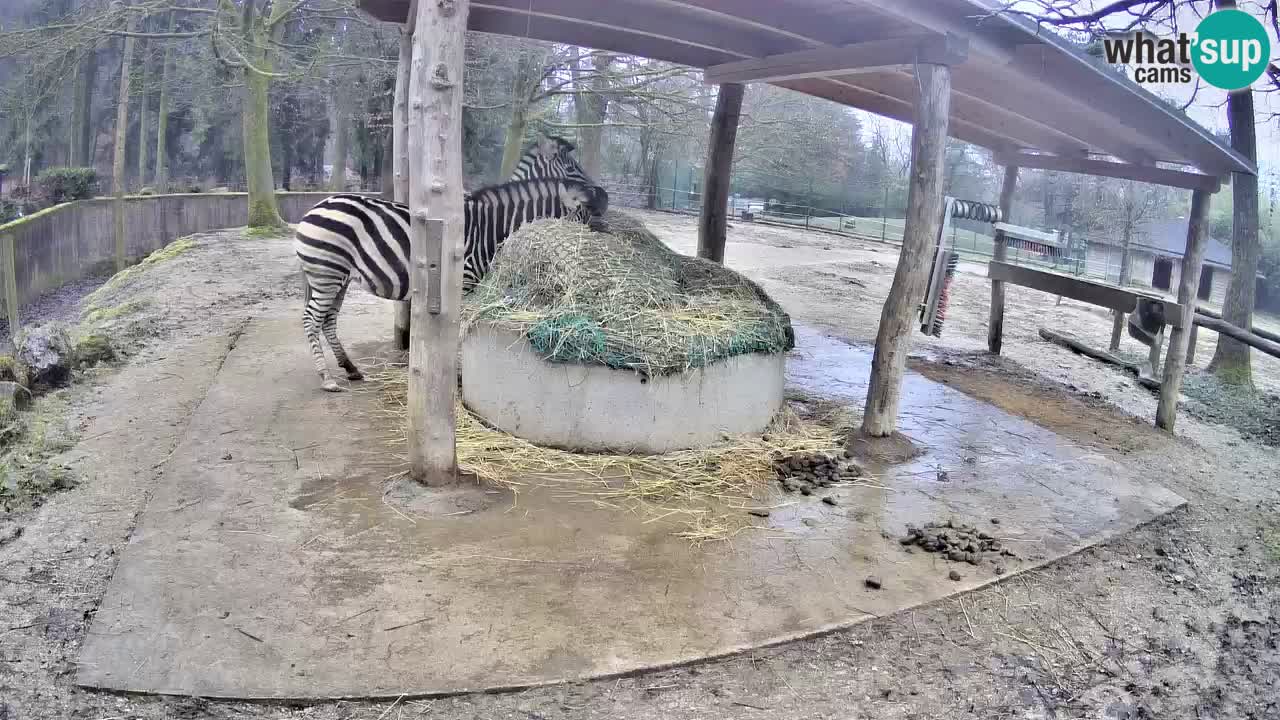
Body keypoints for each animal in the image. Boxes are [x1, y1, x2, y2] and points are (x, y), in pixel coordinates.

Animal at [294, 177, 609, 392]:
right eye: (584, 220)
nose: (594, 264)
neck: (489, 230)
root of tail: (315, 207)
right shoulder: (464, 282)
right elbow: (456, 333)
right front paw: (456, 375)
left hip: (339, 276)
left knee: (328, 320)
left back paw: (351, 368)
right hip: (327, 272)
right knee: (311, 319)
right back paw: (327, 379)